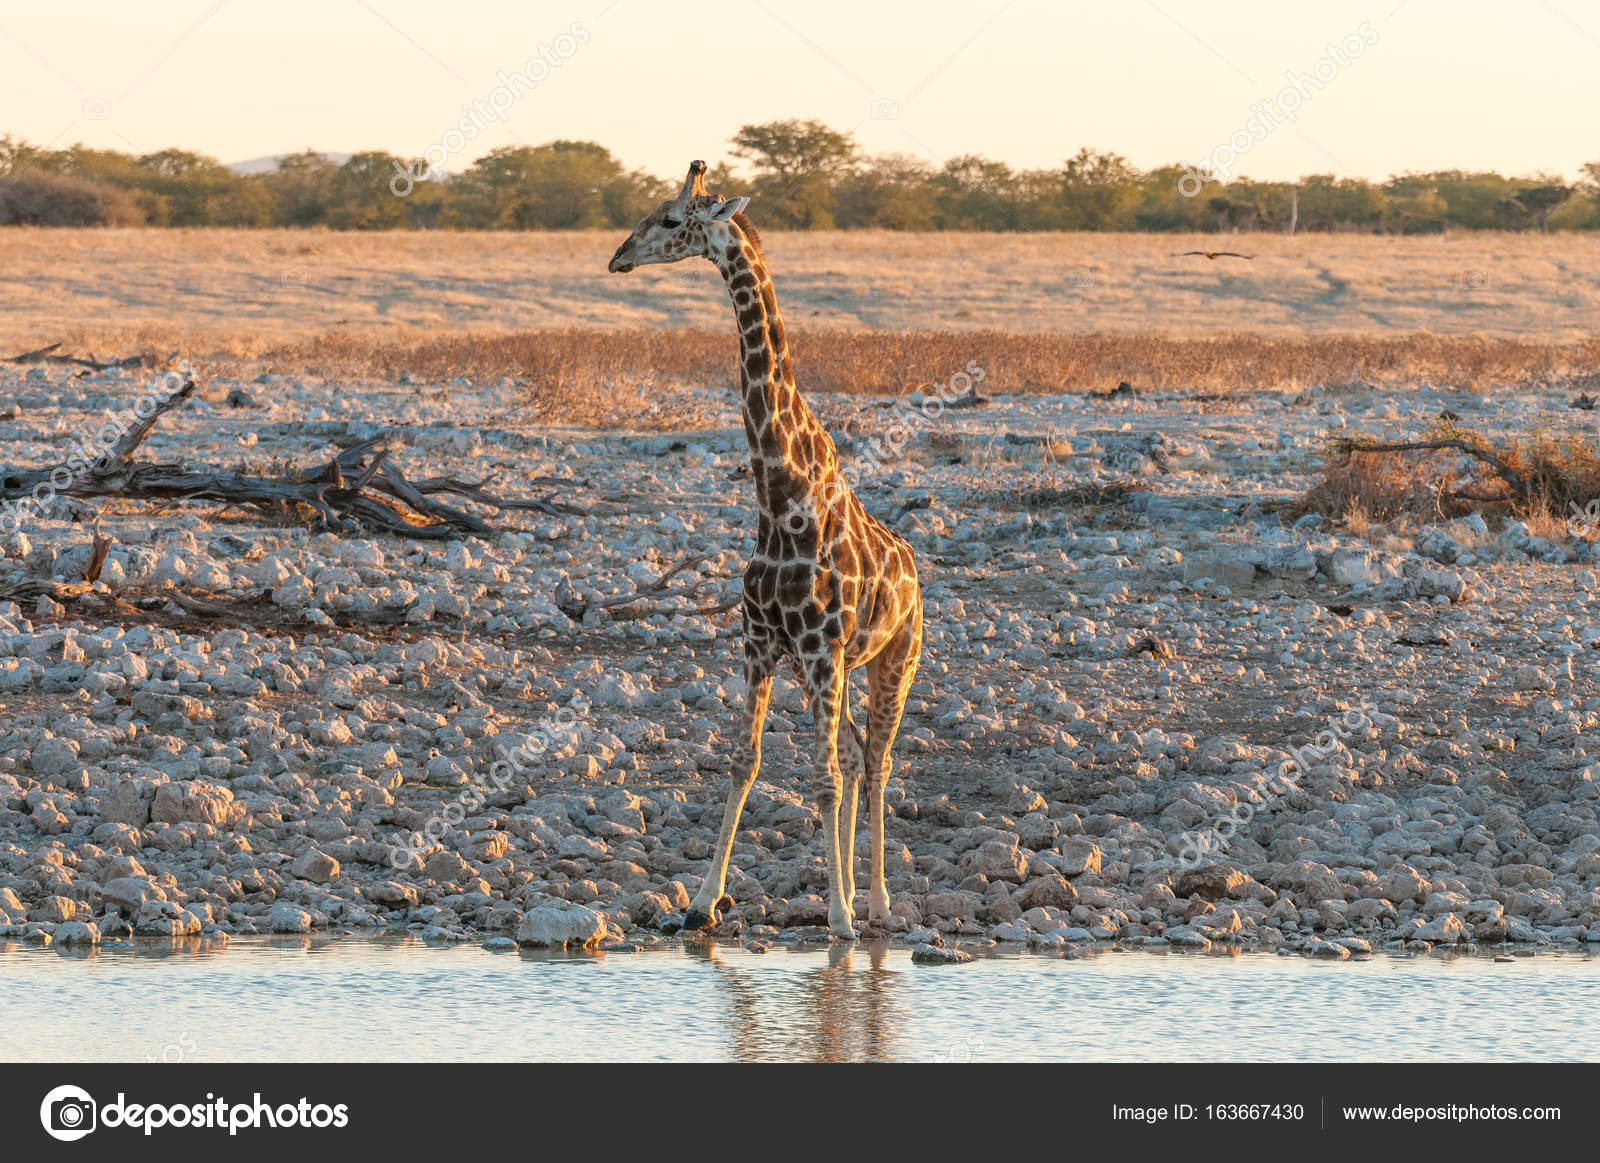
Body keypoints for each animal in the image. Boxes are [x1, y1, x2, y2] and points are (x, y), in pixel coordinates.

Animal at [609, 160, 923, 940]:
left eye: (670, 219)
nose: (617, 257)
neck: (780, 500)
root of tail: (916, 569)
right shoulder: (759, 643)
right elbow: (743, 762)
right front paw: (701, 901)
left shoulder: (816, 647)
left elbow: (824, 778)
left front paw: (839, 918)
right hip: (835, 669)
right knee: (856, 754)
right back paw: (858, 892)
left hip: (893, 660)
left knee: (877, 760)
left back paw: (876, 902)